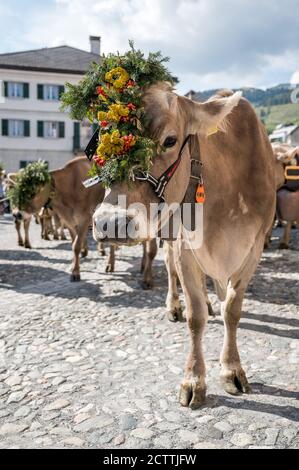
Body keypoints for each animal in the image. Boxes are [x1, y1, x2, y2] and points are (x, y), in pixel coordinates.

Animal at [93, 84, 276, 408]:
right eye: (102, 146)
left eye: (170, 140)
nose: (109, 223)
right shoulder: (184, 247)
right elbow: (195, 318)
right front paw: (194, 380)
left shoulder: (253, 249)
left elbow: (232, 309)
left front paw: (232, 369)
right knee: (169, 271)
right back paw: (174, 305)